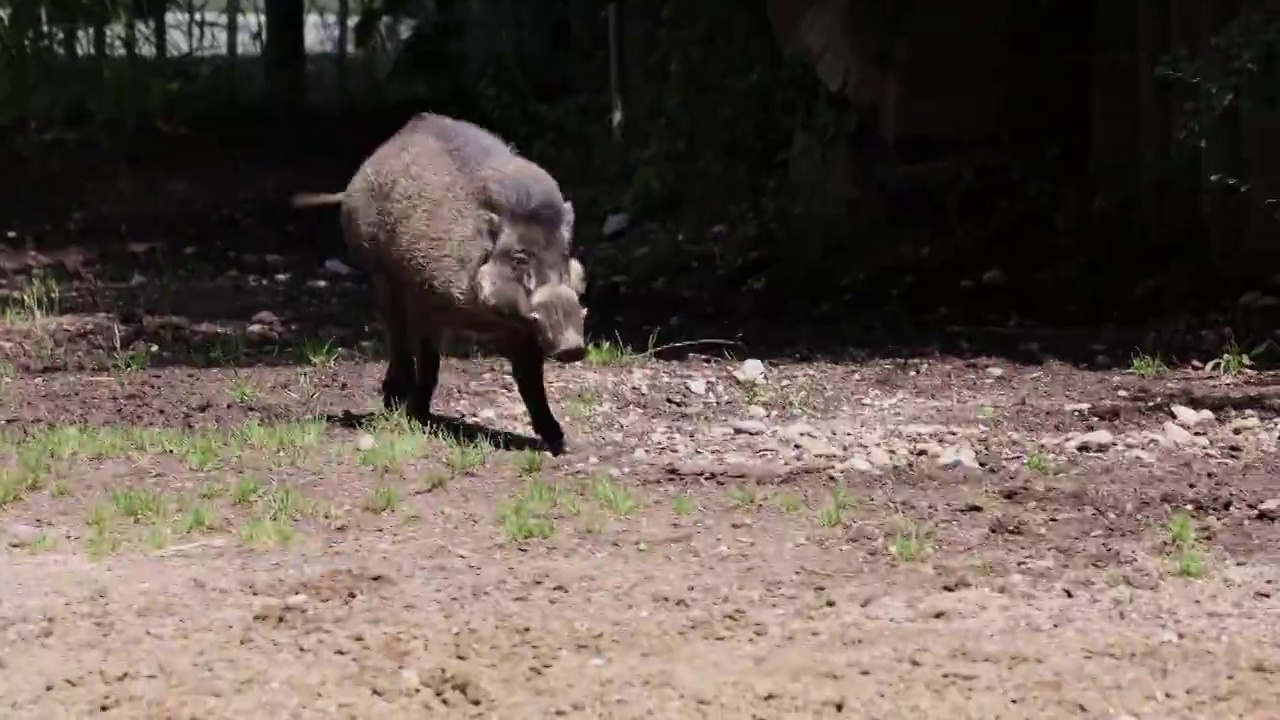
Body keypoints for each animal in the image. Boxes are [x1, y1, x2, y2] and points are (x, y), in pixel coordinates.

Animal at [291, 110, 588, 450]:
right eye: (519, 259)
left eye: (565, 253)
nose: (573, 347)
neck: (485, 315)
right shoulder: (425, 300)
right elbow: (430, 362)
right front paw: (417, 416)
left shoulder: (524, 328)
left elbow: (531, 379)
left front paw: (558, 441)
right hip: (381, 276)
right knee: (397, 336)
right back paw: (394, 401)